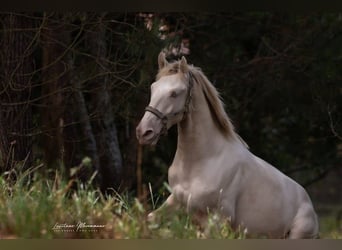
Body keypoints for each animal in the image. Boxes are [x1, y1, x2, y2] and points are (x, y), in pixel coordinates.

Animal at [135, 52, 320, 238]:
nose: (144, 132)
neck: (203, 160)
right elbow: (147, 220)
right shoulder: (175, 201)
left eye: (175, 93)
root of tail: (310, 206)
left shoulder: (218, 220)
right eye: (153, 88)